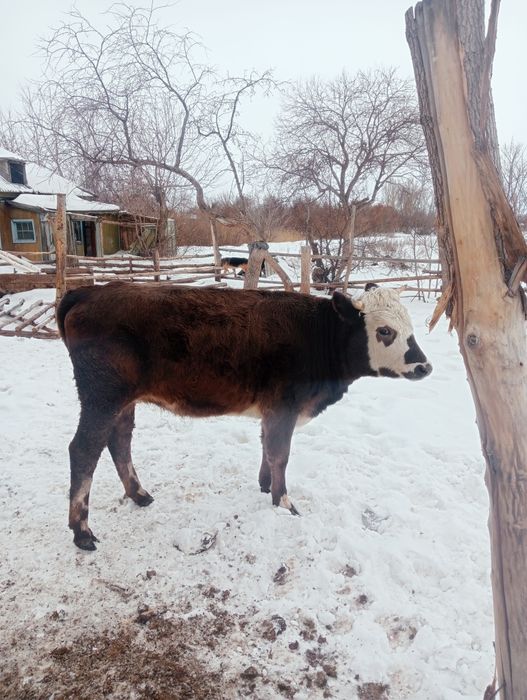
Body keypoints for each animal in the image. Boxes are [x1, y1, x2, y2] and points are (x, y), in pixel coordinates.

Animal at [57, 282, 432, 550]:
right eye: (385, 331)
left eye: (410, 326)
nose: (424, 366)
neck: (315, 335)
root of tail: (89, 290)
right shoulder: (283, 406)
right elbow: (280, 454)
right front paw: (284, 503)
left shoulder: (272, 410)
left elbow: (267, 446)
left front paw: (265, 486)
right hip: (102, 397)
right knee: (84, 450)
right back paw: (82, 531)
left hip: (122, 402)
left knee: (119, 442)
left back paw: (139, 495)